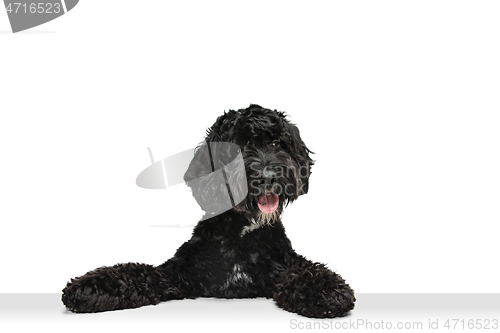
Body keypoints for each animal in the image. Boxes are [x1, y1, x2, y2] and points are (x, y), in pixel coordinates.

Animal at [61, 105, 356, 318]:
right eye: (237, 147)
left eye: (276, 142)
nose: (268, 177)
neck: (241, 236)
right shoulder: (177, 274)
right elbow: (135, 273)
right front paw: (88, 287)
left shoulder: (285, 264)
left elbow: (309, 271)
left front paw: (329, 291)